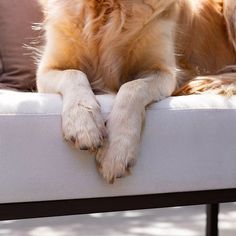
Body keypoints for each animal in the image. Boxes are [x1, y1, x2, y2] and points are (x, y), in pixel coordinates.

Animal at [36, 0, 236, 183]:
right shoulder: (46, 69)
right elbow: (74, 73)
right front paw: (83, 124)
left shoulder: (164, 72)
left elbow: (131, 87)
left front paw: (116, 151)